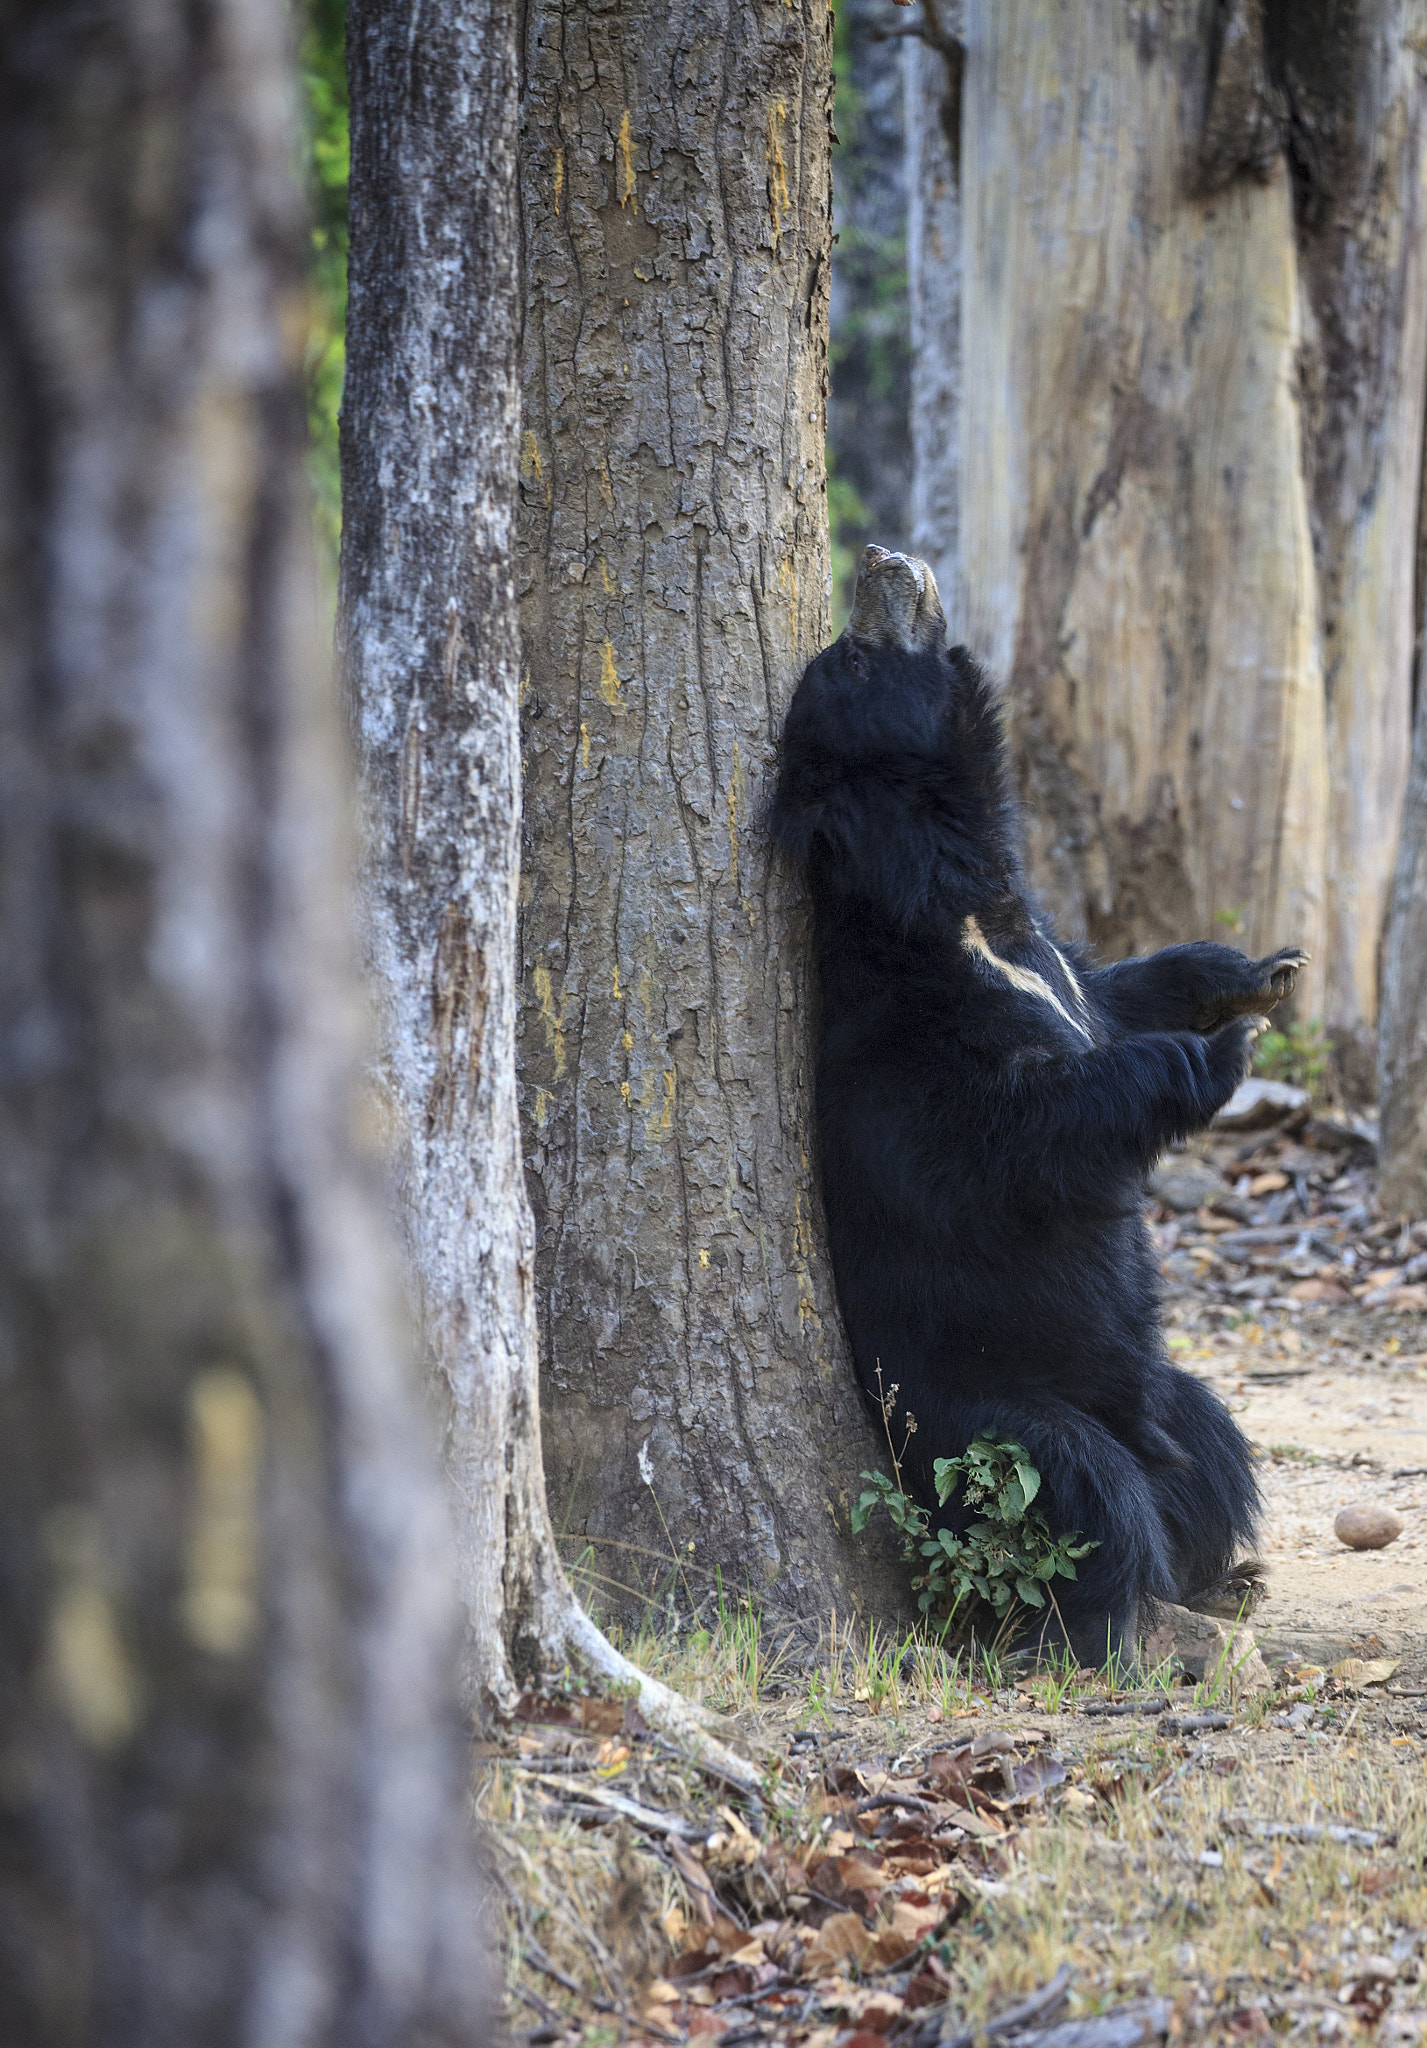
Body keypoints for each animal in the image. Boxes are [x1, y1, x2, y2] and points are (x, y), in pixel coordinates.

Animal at [769, 544, 1302, 1662]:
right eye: (851, 658)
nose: (882, 557)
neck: (973, 905)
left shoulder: (1052, 960)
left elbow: (1120, 988)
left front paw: (1260, 975)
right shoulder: (908, 1060)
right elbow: (1024, 1130)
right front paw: (1222, 1048)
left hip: (1163, 1392)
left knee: (1211, 1448)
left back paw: (1222, 1575)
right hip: (977, 1416)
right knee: (1084, 1495)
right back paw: (1138, 1622)